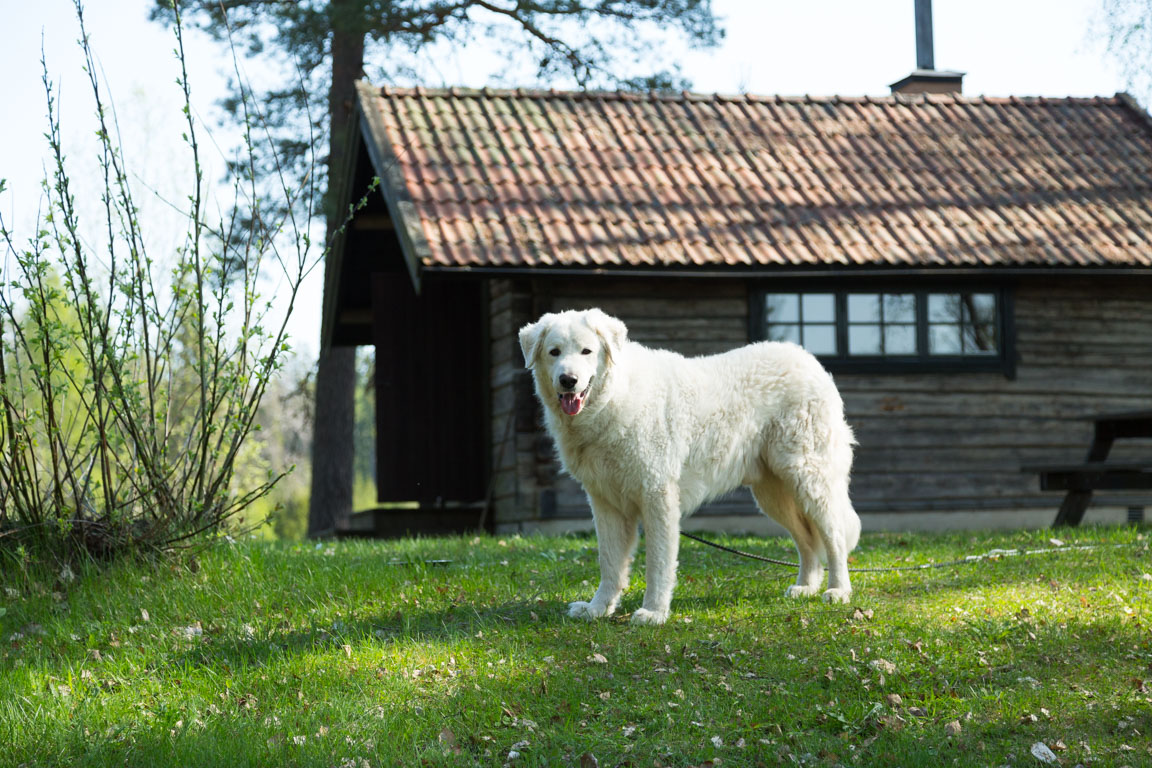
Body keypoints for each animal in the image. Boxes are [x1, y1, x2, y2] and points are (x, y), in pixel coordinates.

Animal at [518, 308, 861, 626]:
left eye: (586, 351)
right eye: (555, 352)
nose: (568, 380)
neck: (613, 398)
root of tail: (810, 362)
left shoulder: (657, 495)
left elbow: (658, 562)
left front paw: (654, 612)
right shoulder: (606, 503)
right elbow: (610, 562)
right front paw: (598, 609)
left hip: (808, 479)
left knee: (833, 537)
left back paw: (838, 591)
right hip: (773, 493)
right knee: (807, 540)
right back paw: (806, 587)